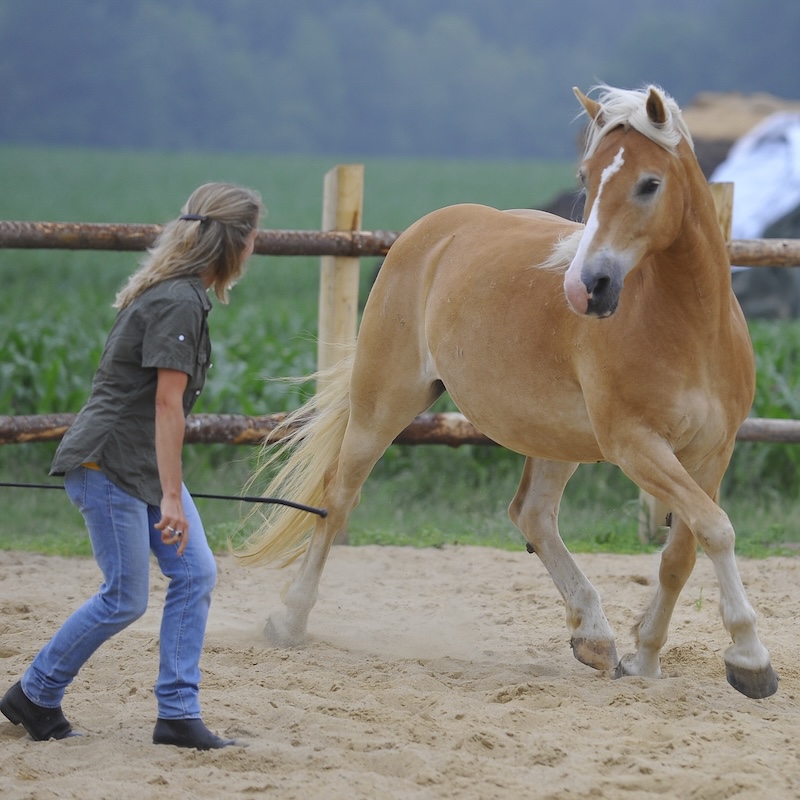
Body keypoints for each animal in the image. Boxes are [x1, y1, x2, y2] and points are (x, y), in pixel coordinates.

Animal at [237, 84, 778, 699]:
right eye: (588, 177)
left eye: (649, 183)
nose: (586, 287)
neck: (689, 327)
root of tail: (431, 231)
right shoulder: (636, 445)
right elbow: (717, 529)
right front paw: (750, 658)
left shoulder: (712, 451)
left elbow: (682, 553)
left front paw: (644, 659)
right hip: (383, 404)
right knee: (338, 496)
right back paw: (288, 621)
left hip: (555, 436)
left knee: (533, 515)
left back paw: (594, 637)